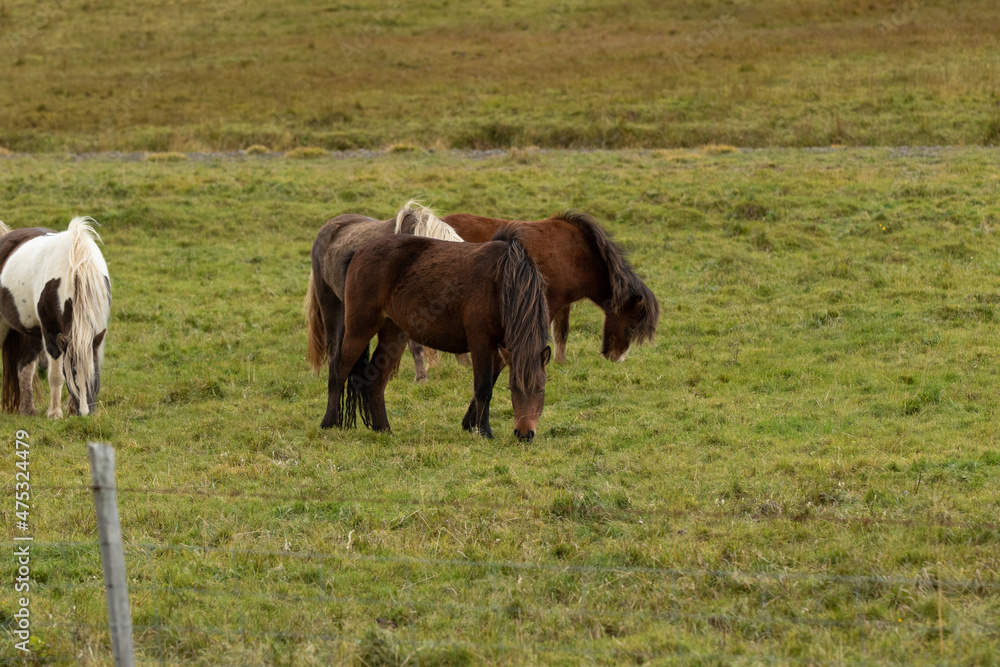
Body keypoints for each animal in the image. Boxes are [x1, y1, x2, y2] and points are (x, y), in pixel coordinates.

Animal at [0, 217, 110, 417]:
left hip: (33, 331)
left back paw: (28, 410)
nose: (85, 413)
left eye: (95, 373)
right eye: (71, 374)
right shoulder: (51, 333)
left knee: (24, 365)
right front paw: (55, 413)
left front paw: (70, 409)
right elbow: (56, 376)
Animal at [307, 226, 551, 440]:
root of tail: (358, 252)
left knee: (376, 381)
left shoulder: (501, 350)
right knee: (338, 369)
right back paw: (329, 422)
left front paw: (469, 423)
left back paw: (383, 428)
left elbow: (488, 383)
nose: (524, 434)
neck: (502, 281)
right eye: (513, 388)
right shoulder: (481, 343)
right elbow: (483, 388)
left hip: (393, 333)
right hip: (360, 327)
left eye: (541, 390)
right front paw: (484, 431)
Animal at [430, 211, 659, 363]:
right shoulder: (550, 300)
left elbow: (561, 332)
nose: (616, 358)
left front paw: (560, 363)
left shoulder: (565, 303)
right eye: (631, 326)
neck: (577, 254)